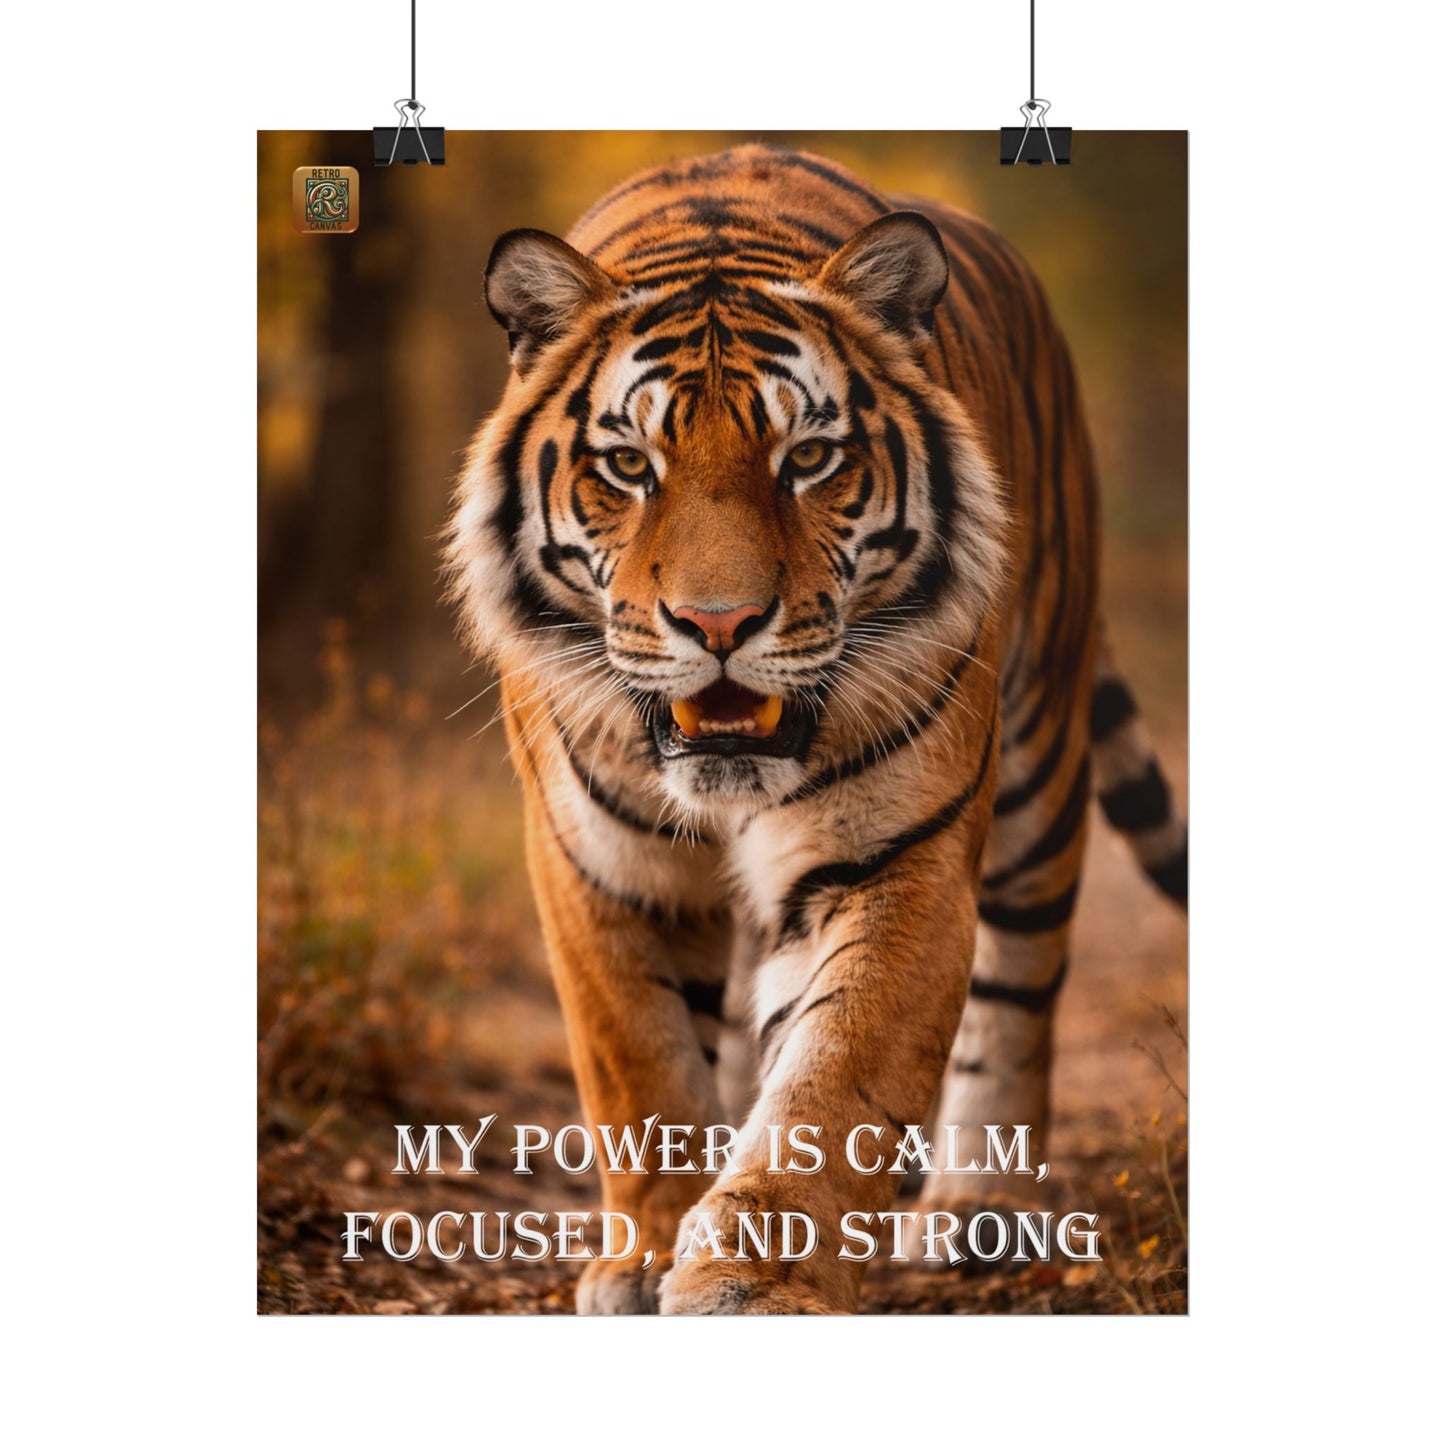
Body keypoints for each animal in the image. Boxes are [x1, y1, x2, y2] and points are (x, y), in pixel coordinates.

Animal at [445, 144, 1187, 1315]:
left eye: (807, 458)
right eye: (628, 466)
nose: (717, 624)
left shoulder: (895, 854)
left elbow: (834, 1080)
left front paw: (755, 1278)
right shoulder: (596, 864)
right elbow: (640, 1061)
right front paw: (646, 1255)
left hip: (1037, 765)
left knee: (1018, 986)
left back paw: (978, 1206)